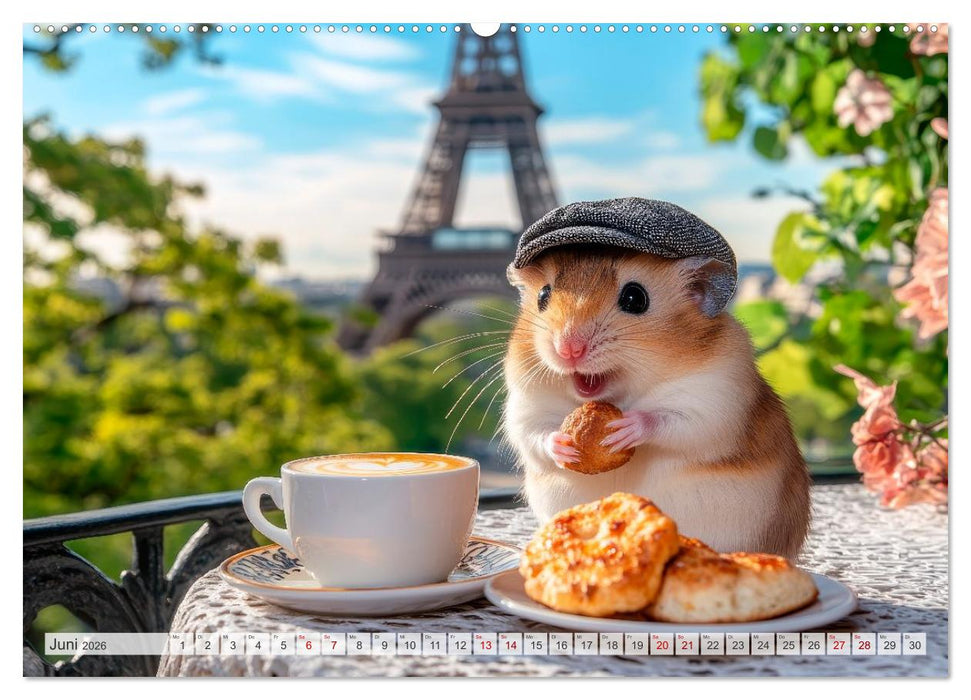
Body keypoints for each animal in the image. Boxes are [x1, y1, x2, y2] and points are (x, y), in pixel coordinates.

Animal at [503, 246, 811, 559]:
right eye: (543, 296)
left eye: (635, 298)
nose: (568, 350)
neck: (620, 396)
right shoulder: (525, 407)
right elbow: (534, 434)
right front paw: (563, 444)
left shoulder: (716, 400)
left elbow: (671, 420)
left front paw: (624, 429)